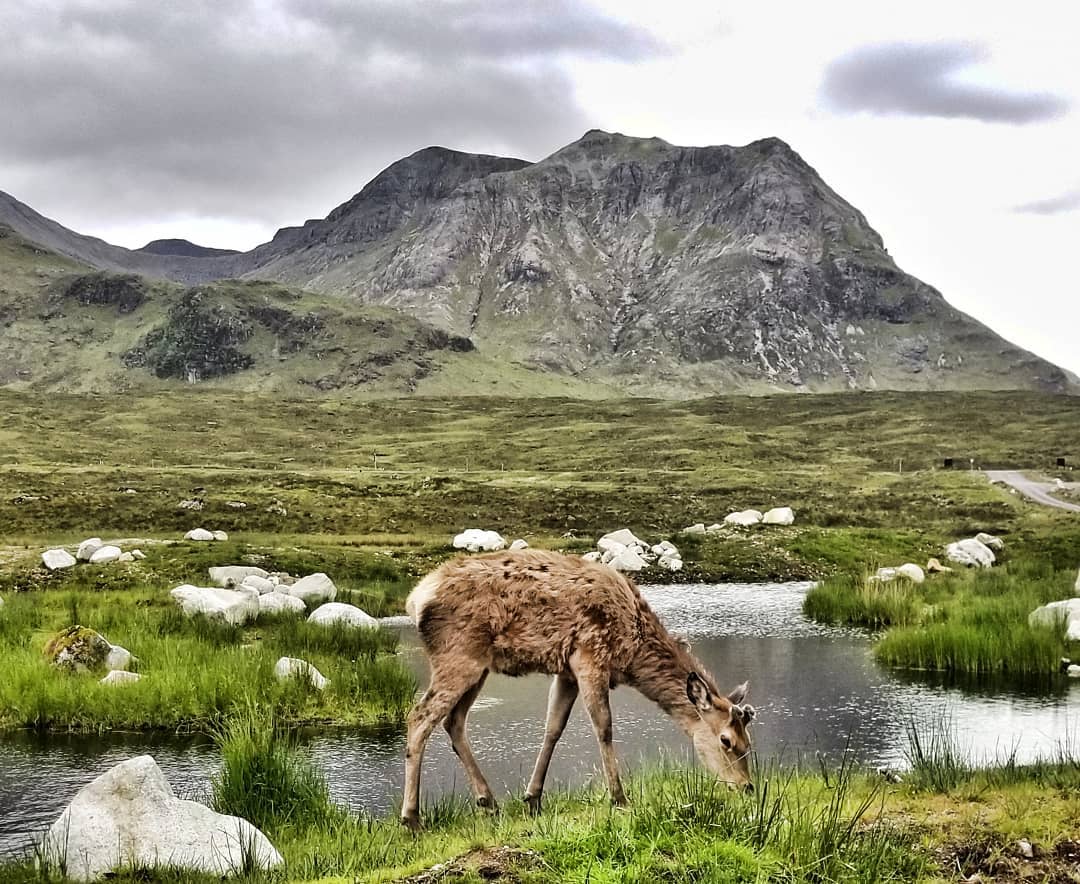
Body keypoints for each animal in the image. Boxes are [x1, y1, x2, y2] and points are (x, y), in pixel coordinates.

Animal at [401, 550, 756, 833]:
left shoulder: (566, 672)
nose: (747, 787)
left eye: (748, 742)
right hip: (458, 656)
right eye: (726, 740)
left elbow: (553, 728)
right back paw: (412, 817)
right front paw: (619, 798)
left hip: (478, 667)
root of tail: (414, 599)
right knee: (419, 718)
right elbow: (604, 727)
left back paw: (488, 801)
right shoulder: (589, 656)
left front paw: (533, 798)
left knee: (454, 722)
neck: (633, 650)